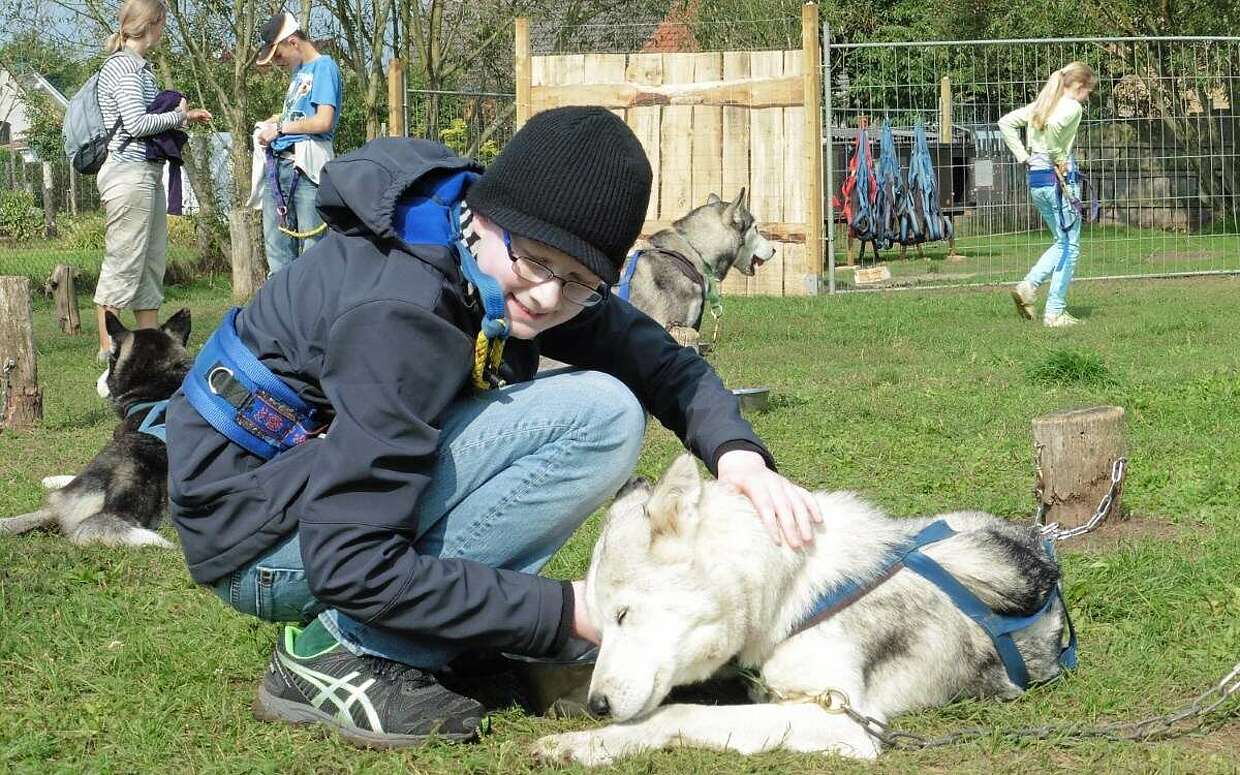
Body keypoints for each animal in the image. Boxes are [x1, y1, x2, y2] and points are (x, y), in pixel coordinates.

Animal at [535, 456, 1076, 763]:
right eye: (599, 628)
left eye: (624, 616)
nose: (598, 707)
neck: (788, 593)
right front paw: (572, 704)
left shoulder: (845, 719)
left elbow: (677, 712)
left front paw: (589, 743)